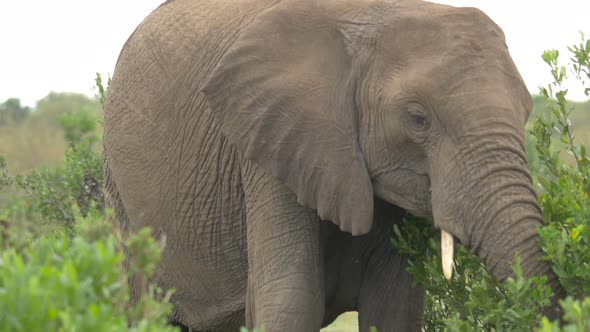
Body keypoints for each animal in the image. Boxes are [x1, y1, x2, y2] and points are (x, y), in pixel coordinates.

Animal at [104, 0, 568, 330]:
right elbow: (290, 301)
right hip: (120, 198)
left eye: (526, 111)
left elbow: (395, 308)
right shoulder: (269, 145)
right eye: (417, 118)